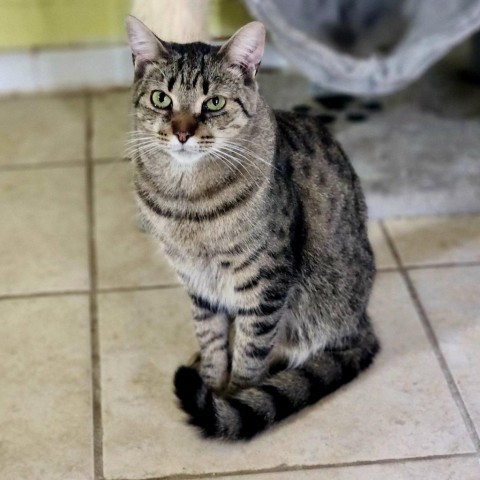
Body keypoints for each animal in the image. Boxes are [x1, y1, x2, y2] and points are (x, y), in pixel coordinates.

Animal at [125, 16, 380, 440]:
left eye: (214, 103)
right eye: (161, 99)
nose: (182, 133)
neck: (187, 202)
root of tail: (363, 322)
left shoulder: (264, 280)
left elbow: (251, 349)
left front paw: (232, 398)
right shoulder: (196, 279)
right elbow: (211, 336)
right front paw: (212, 383)